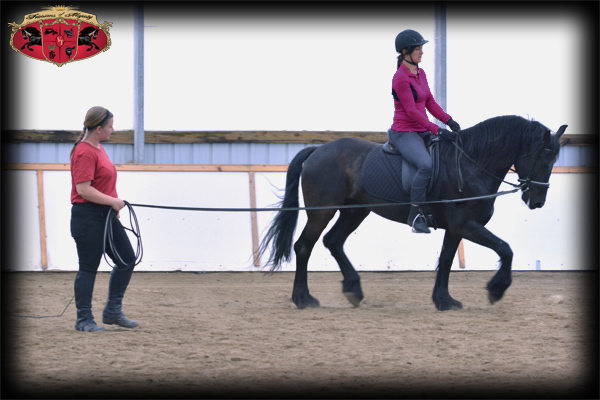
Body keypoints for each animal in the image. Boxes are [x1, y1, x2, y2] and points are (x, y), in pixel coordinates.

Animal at [258, 114, 568, 310]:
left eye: (554, 160)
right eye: (542, 158)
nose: (537, 200)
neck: (471, 164)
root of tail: (318, 151)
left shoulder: (456, 228)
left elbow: (446, 260)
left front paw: (444, 301)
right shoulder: (466, 225)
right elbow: (505, 249)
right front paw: (496, 289)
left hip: (354, 212)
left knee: (333, 242)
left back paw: (353, 290)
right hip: (322, 212)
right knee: (304, 246)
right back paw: (303, 299)